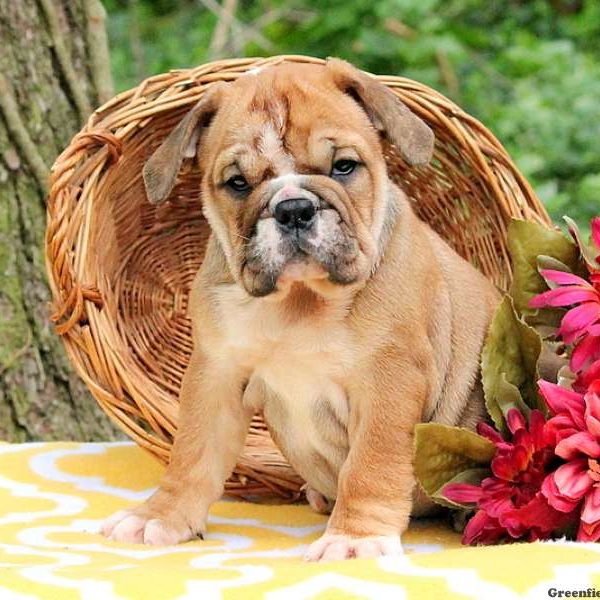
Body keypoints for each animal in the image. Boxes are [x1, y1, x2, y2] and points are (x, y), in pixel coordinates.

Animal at [102, 58, 502, 560]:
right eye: (238, 183)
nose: (293, 208)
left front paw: (354, 538)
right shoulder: (215, 374)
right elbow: (191, 451)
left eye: (344, 167)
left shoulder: (390, 381)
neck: (299, 300)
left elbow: (371, 463)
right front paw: (159, 516)